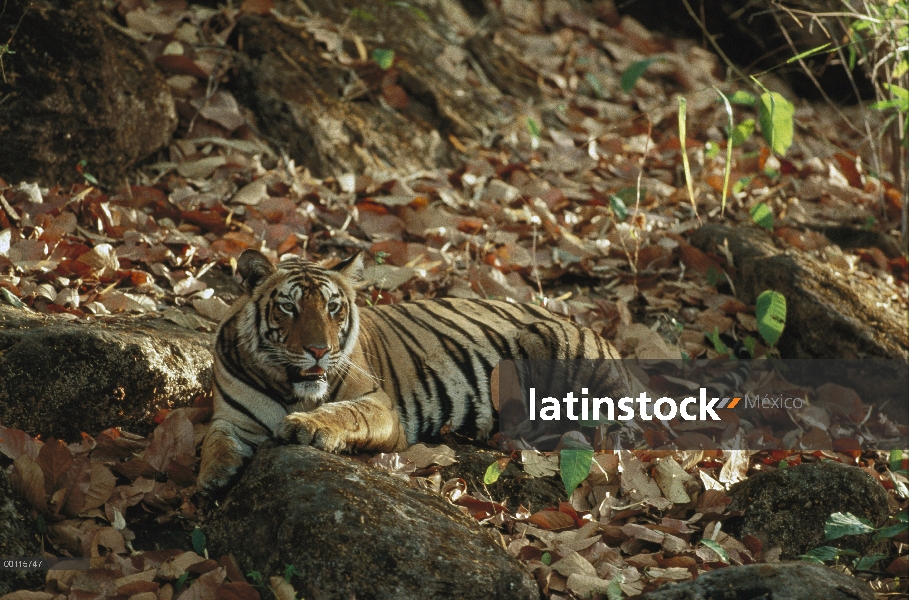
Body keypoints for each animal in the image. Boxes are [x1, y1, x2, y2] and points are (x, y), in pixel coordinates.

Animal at [197, 248, 640, 492]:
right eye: (288, 307)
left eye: (333, 307)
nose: (319, 351)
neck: (287, 387)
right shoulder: (230, 416)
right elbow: (215, 440)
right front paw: (213, 475)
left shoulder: (380, 405)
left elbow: (344, 413)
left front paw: (308, 425)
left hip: (559, 347)